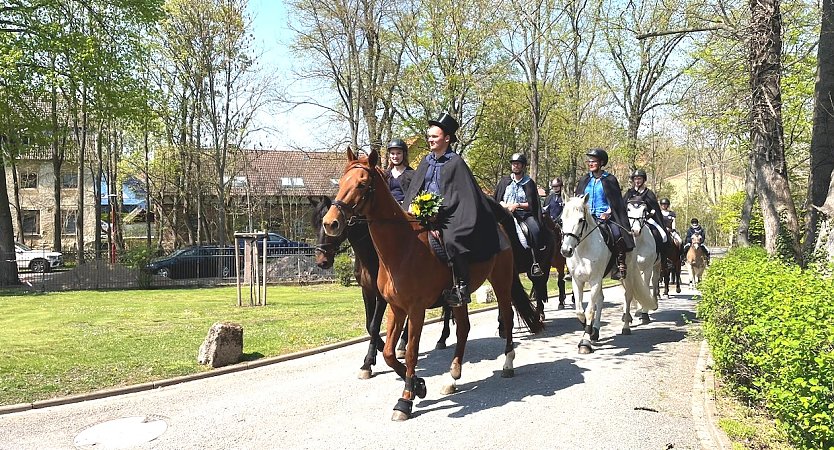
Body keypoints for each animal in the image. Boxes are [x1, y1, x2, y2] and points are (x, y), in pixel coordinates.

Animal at [308, 195, 448, 378]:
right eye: (315, 225)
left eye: (331, 225)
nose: (321, 261)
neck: (371, 252)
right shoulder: (367, 291)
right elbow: (369, 325)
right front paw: (378, 351)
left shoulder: (382, 296)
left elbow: (374, 326)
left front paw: (368, 361)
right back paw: (402, 346)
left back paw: (442, 339)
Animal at [322, 149, 544, 422]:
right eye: (342, 182)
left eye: (362, 184)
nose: (330, 223)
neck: (403, 247)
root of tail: (501, 227)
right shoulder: (396, 308)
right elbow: (389, 353)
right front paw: (418, 385)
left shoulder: (415, 310)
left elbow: (410, 352)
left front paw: (405, 400)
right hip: (459, 298)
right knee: (463, 329)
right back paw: (452, 377)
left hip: (501, 283)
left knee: (508, 318)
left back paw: (508, 364)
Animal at [560, 195, 656, 354]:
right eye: (561, 220)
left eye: (581, 220)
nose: (566, 250)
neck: (583, 249)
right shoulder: (577, 281)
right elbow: (580, 311)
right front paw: (590, 331)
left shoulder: (594, 280)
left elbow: (589, 310)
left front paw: (585, 342)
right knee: (601, 299)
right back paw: (596, 331)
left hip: (627, 274)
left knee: (628, 296)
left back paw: (626, 326)